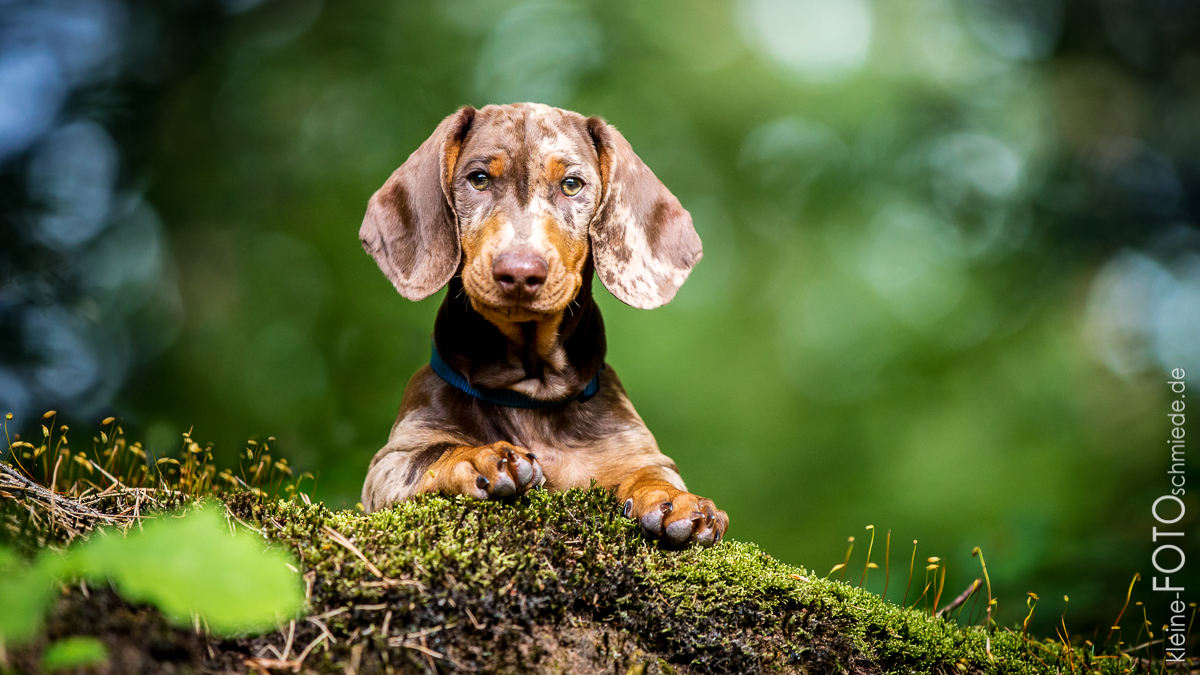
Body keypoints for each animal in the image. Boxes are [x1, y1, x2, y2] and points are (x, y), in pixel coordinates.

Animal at [360, 102, 724, 542]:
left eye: (571, 185)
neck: (532, 395)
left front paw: (676, 500)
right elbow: (434, 453)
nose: (519, 272)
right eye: (478, 179)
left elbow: (651, 473)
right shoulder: (390, 463)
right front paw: (480, 457)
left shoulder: (640, 453)